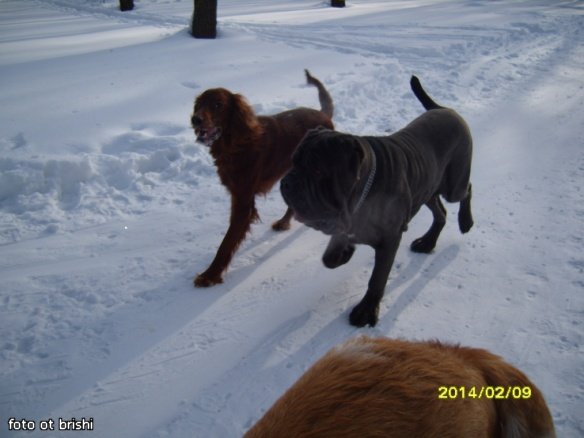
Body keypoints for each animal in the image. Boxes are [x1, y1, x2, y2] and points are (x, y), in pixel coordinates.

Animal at [191, 70, 334, 287]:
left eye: (218, 104)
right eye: (199, 104)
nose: (195, 119)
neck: (235, 143)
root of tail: (324, 114)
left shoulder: (243, 202)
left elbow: (226, 243)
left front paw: (210, 275)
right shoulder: (237, 195)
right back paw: (284, 222)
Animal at [280, 76, 474, 326]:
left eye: (317, 171)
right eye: (293, 161)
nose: (286, 183)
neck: (361, 195)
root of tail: (444, 109)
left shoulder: (389, 240)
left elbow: (377, 279)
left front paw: (366, 310)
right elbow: (330, 256)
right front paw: (343, 252)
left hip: (453, 185)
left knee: (466, 191)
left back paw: (466, 222)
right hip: (427, 188)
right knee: (440, 211)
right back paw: (427, 242)